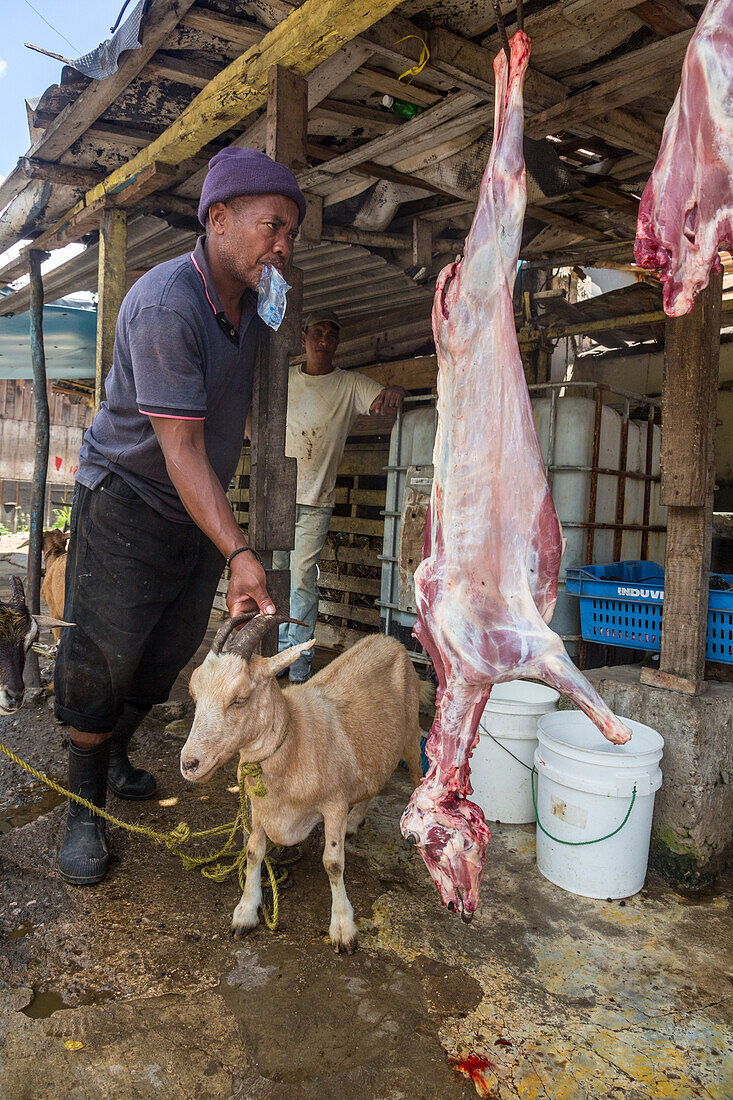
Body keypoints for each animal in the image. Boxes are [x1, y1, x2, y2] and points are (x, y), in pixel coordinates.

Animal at [180, 616, 422, 950]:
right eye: (194, 693)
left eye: (239, 699)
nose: (189, 764)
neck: (296, 739)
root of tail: (390, 640)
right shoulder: (257, 806)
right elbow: (253, 851)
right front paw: (245, 912)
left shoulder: (333, 803)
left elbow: (333, 863)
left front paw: (343, 928)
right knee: (373, 783)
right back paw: (354, 821)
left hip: (411, 737)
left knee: (417, 777)